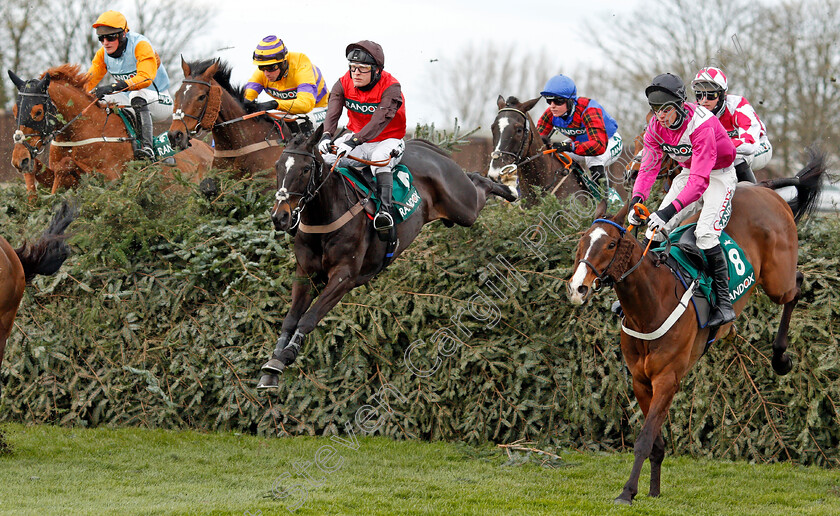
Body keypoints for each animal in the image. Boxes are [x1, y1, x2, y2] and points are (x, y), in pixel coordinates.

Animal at [9, 64, 213, 194]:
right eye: (14, 110)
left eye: (37, 112)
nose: (19, 159)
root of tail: (210, 149)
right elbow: (54, 171)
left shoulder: (112, 177)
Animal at [258, 125, 520, 390]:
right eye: (278, 166)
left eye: (305, 169)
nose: (280, 217)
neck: (326, 216)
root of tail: (425, 148)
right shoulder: (305, 274)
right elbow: (290, 319)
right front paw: (273, 364)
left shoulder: (344, 277)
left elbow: (308, 318)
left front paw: (287, 354)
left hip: (463, 207)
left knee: (479, 183)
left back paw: (510, 187)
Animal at [564, 149, 828, 504]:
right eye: (582, 242)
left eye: (609, 245)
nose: (577, 288)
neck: (650, 306)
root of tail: (765, 189)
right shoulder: (640, 380)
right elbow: (656, 441)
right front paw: (653, 489)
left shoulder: (667, 379)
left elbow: (645, 438)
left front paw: (627, 492)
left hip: (777, 279)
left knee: (796, 285)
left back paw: (780, 358)